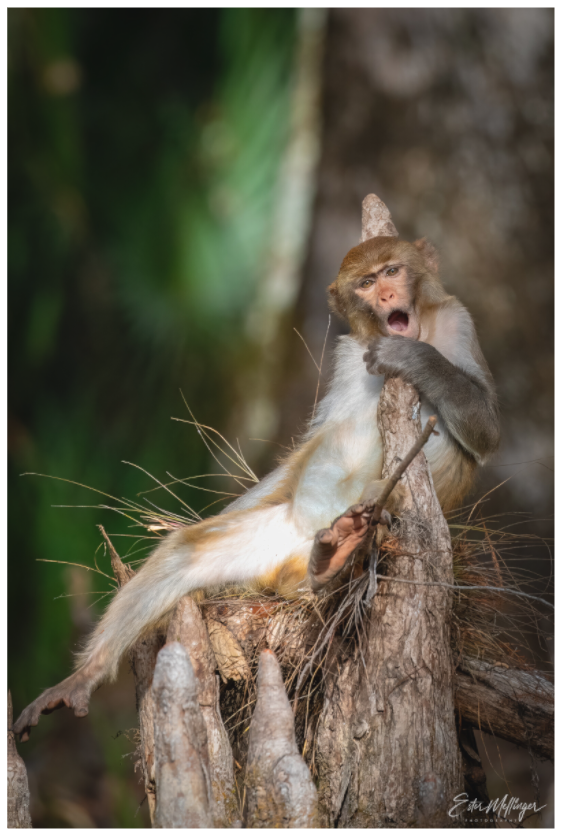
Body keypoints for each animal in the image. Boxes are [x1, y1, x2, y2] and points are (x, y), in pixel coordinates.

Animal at [13, 235, 499, 740]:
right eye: (366, 283)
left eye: (392, 271)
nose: (385, 296)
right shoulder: (348, 356)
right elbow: (311, 444)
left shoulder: (457, 319)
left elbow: (485, 431)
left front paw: (412, 361)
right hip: (277, 539)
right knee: (187, 552)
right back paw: (87, 674)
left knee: (398, 498)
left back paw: (348, 547)